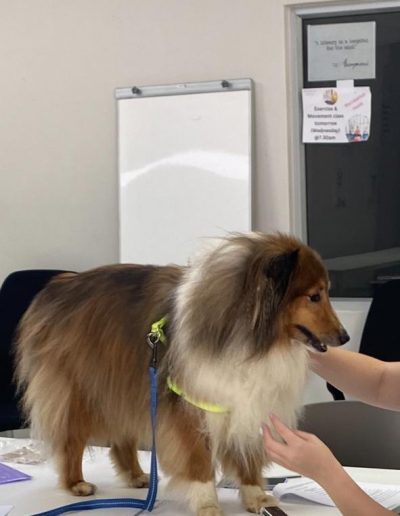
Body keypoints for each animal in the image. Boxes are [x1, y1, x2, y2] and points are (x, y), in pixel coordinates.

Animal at [14, 234, 346, 516]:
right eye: (314, 296)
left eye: (325, 292)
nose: (344, 337)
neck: (251, 337)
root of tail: (56, 287)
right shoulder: (190, 406)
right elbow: (198, 461)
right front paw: (207, 504)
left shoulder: (245, 403)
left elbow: (246, 455)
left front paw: (256, 497)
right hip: (82, 388)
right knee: (72, 439)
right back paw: (76, 483)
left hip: (125, 382)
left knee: (122, 437)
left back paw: (137, 476)